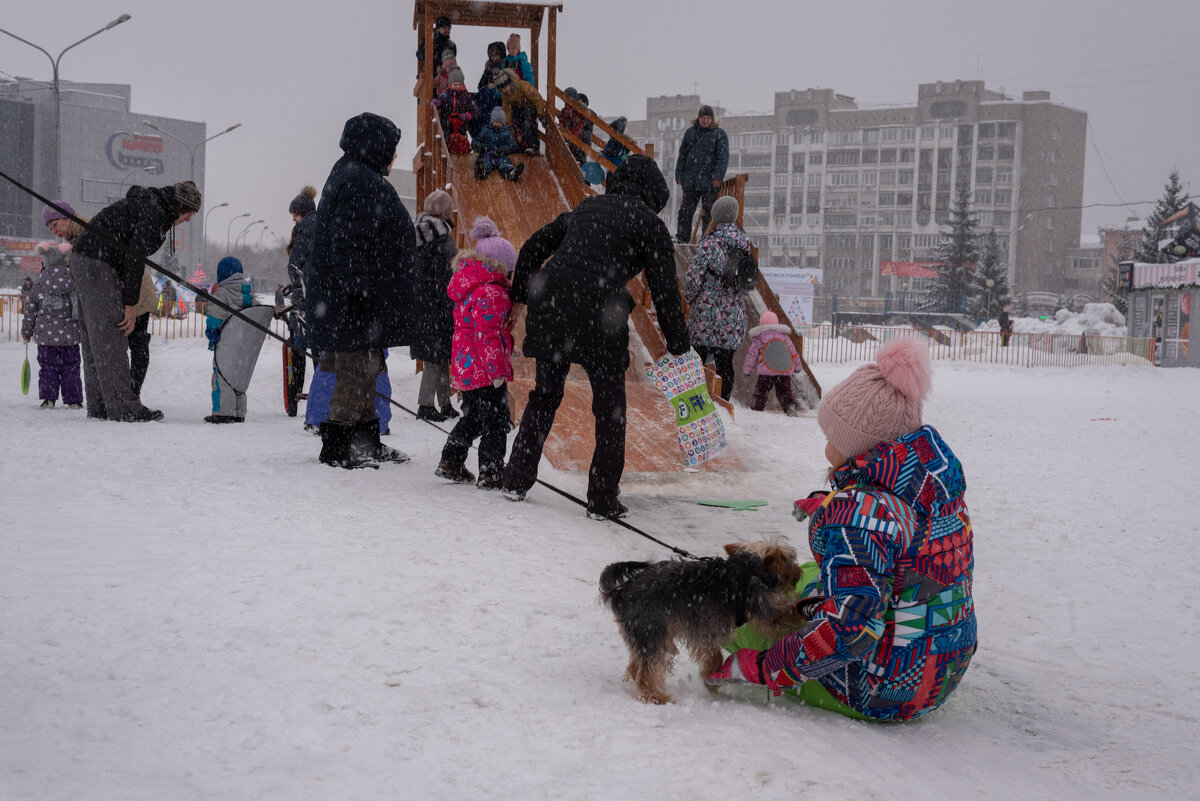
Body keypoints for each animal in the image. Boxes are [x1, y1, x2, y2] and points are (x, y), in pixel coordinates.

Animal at [600, 537, 806, 700]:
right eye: (790, 562)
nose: (799, 573)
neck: (749, 566)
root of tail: (620, 592)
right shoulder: (759, 608)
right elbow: (784, 614)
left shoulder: (704, 631)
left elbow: (712, 654)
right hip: (652, 630)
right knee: (645, 672)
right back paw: (657, 697)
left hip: (644, 635)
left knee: (635, 665)